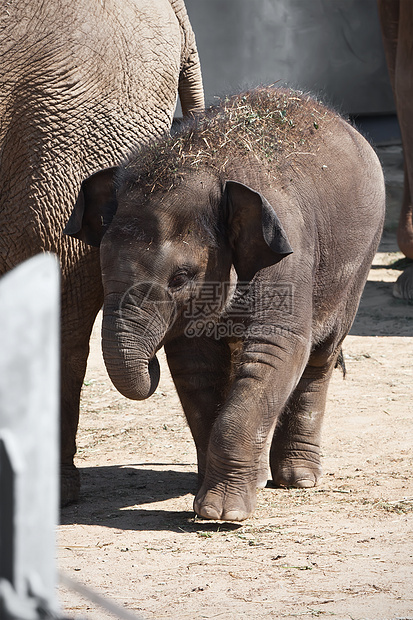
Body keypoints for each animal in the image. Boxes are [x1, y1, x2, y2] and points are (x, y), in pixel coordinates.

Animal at [66, 87, 384, 520]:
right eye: (101, 270)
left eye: (181, 277)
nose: (150, 364)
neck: (205, 159)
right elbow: (195, 366)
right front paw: (208, 493)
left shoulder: (289, 255)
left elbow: (277, 350)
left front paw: (222, 514)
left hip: (357, 266)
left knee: (321, 356)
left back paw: (299, 479)